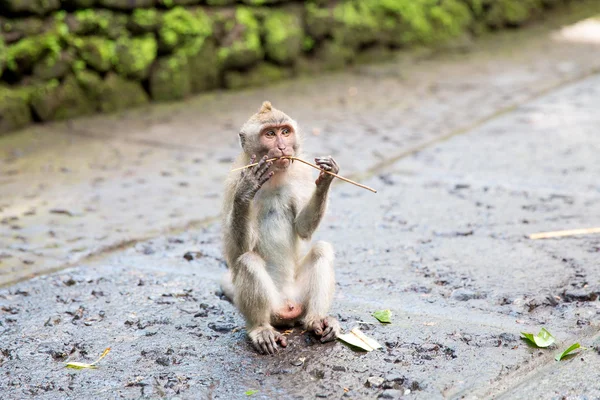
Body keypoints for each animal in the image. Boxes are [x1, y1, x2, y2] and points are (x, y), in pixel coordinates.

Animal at [221, 101, 342, 354]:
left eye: (285, 132)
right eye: (270, 134)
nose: (282, 146)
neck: (274, 177)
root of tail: (288, 307)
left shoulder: (301, 174)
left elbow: (303, 228)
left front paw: (326, 177)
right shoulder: (233, 181)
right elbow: (239, 248)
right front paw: (247, 189)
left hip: (300, 296)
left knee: (321, 250)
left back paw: (317, 320)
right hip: (273, 308)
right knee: (248, 260)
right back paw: (260, 329)